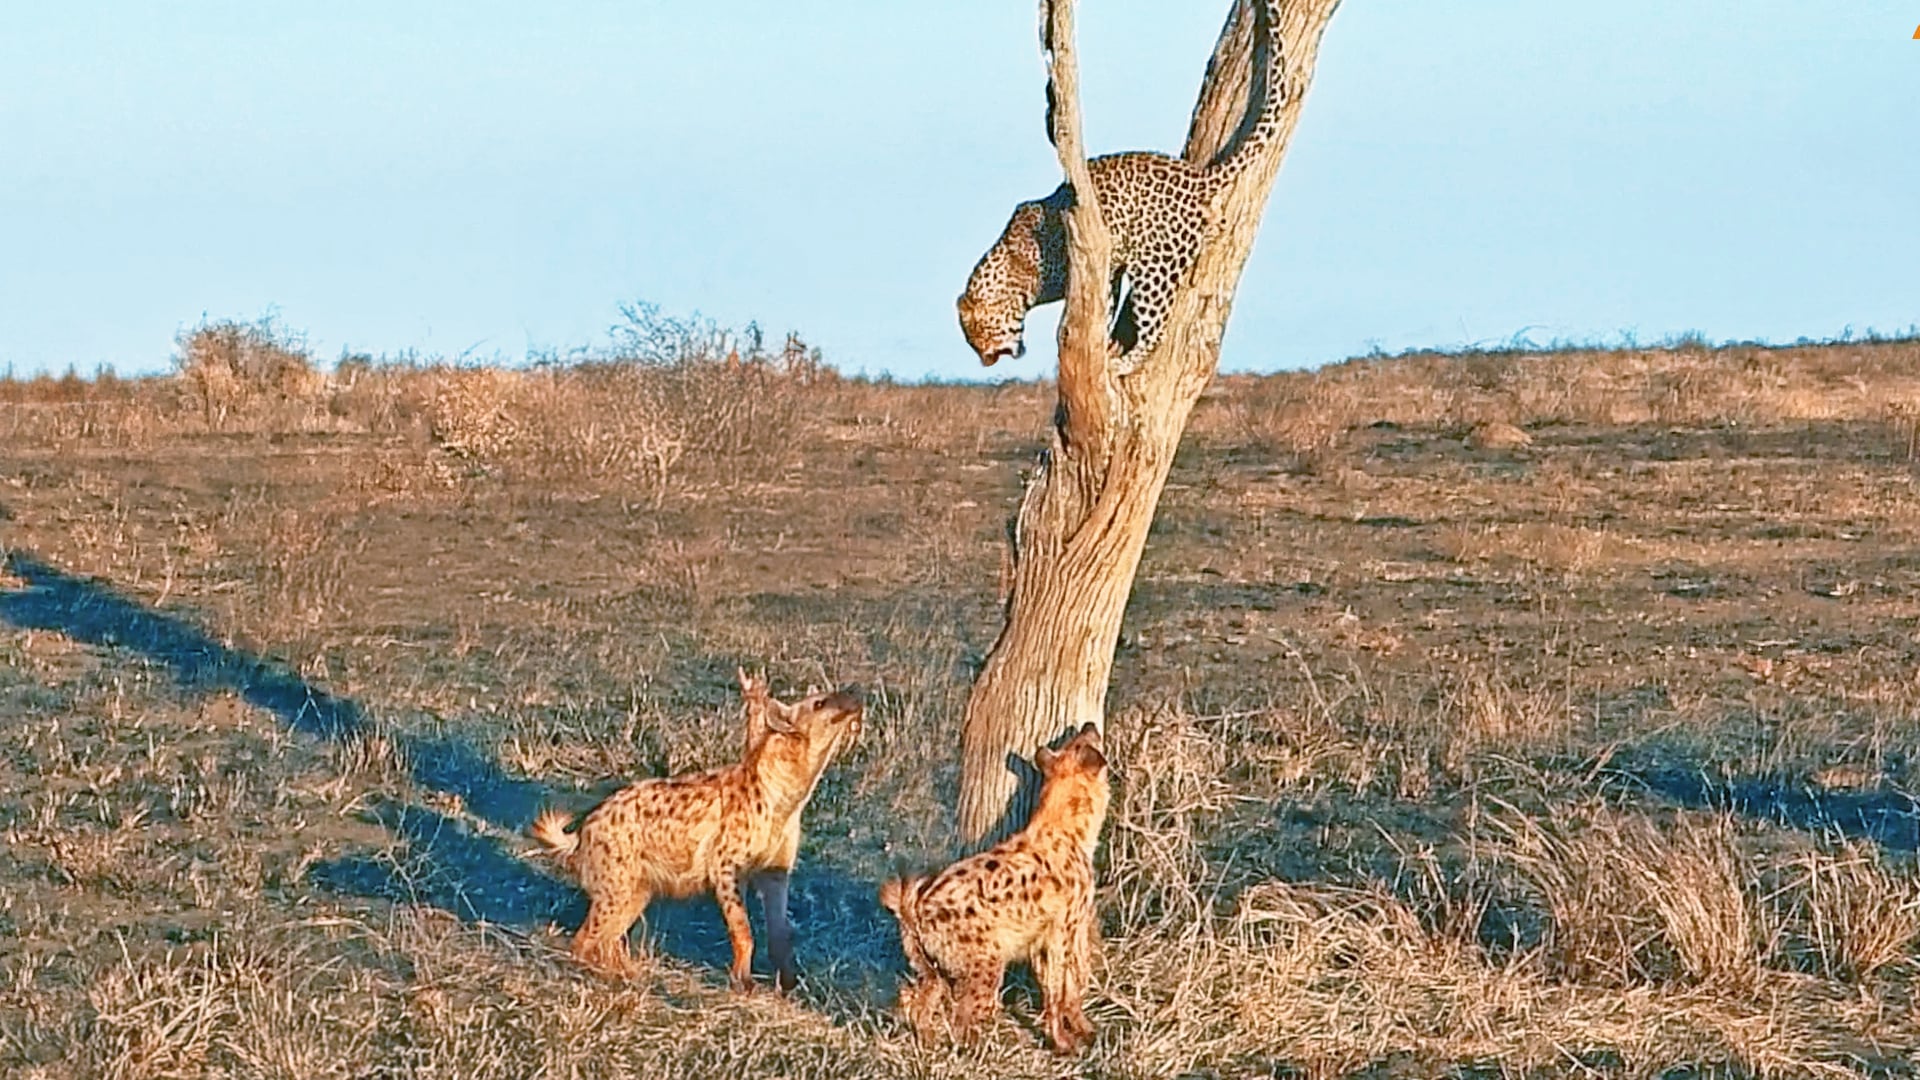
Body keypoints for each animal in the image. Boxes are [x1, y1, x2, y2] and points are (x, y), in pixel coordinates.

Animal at [957, 0, 1287, 375]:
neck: (1012, 274)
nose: (985, 362)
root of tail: (1198, 178)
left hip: (1155, 264)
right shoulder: (1108, 267)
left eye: (978, 335)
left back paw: (1123, 364)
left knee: (1156, 329)